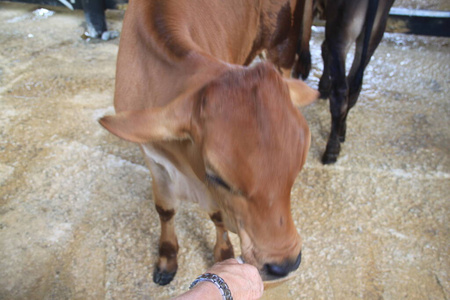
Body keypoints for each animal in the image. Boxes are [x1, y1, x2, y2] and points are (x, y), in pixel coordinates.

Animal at [100, 0, 318, 286]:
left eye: (296, 169)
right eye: (219, 178)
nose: (285, 264)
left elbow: (217, 216)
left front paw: (223, 254)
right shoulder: (154, 159)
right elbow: (165, 209)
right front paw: (167, 259)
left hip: (282, 48)